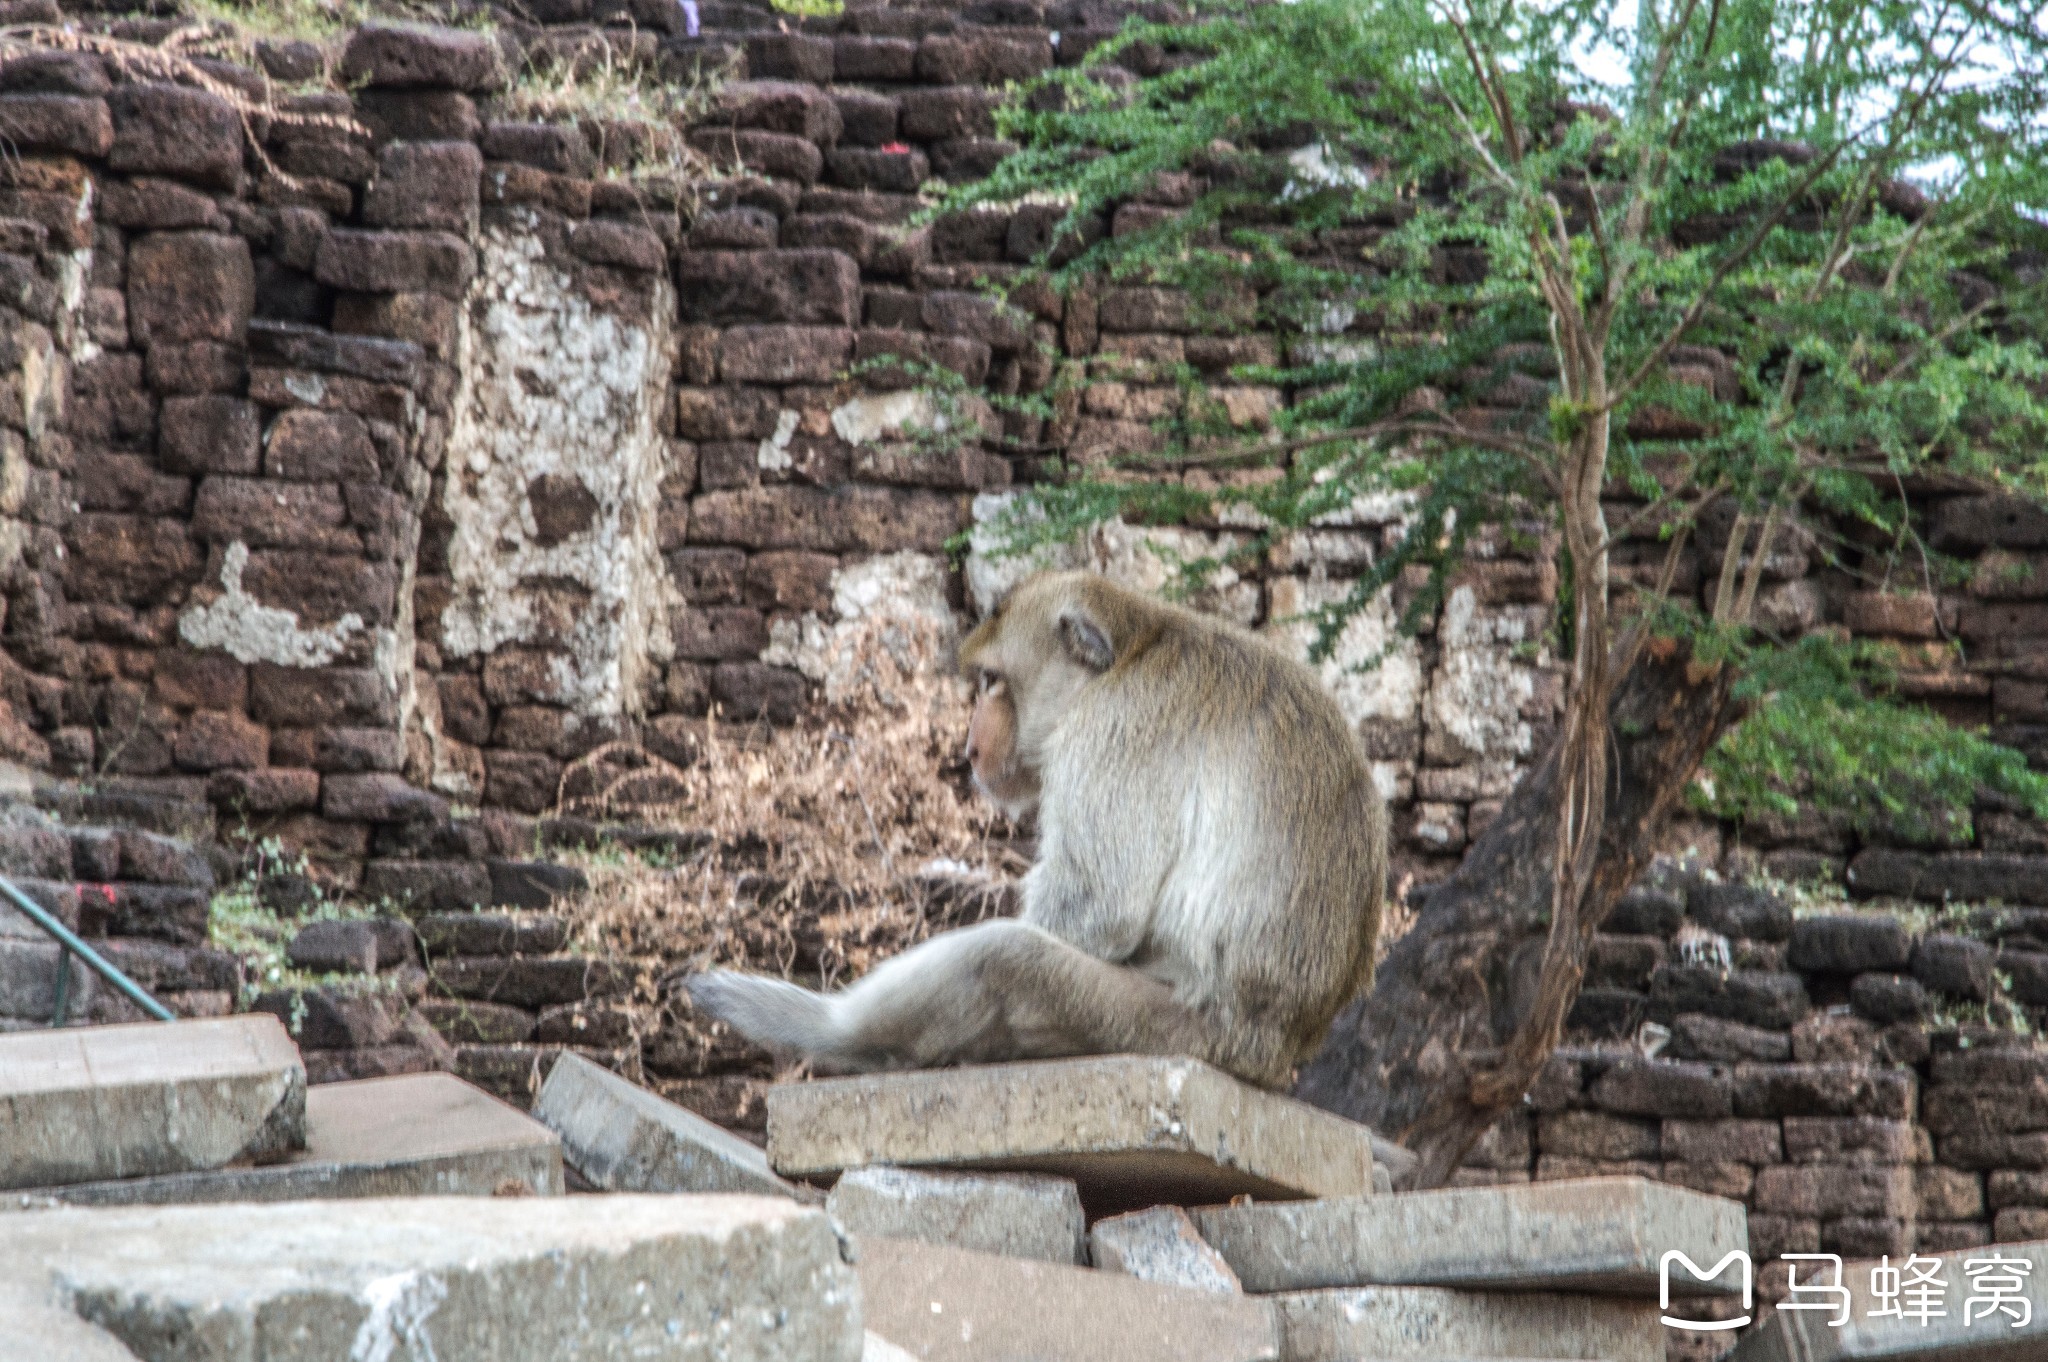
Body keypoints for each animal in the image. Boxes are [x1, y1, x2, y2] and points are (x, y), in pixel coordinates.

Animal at [688, 569, 1392, 1089]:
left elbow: (1101, 911)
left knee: (1003, 959)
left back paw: (819, 1027)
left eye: (993, 682)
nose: (970, 747)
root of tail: (1269, 1053)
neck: (1137, 648)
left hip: (1156, 1028)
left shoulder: (1114, 732)